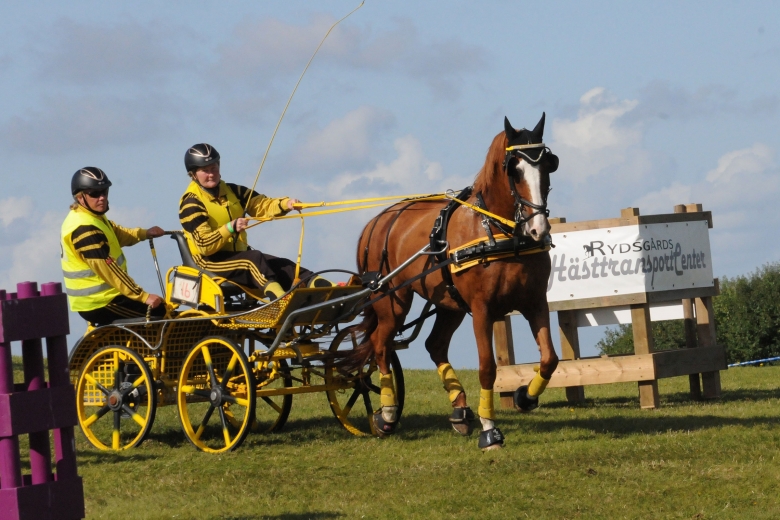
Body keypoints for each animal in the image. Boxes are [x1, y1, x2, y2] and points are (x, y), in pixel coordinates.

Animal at [348, 113, 560, 450]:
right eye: (513, 170)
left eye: (549, 166)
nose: (538, 229)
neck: (500, 232)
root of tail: (377, 221)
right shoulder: (483, 310)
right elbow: (487, 368)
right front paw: (490, 430)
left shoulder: (535, 302)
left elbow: (550, 359)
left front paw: (525, 397)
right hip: (392, 300)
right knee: (381, 344)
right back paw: (388, 413)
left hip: (449, 304)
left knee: (434, 345)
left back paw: (460, 410)